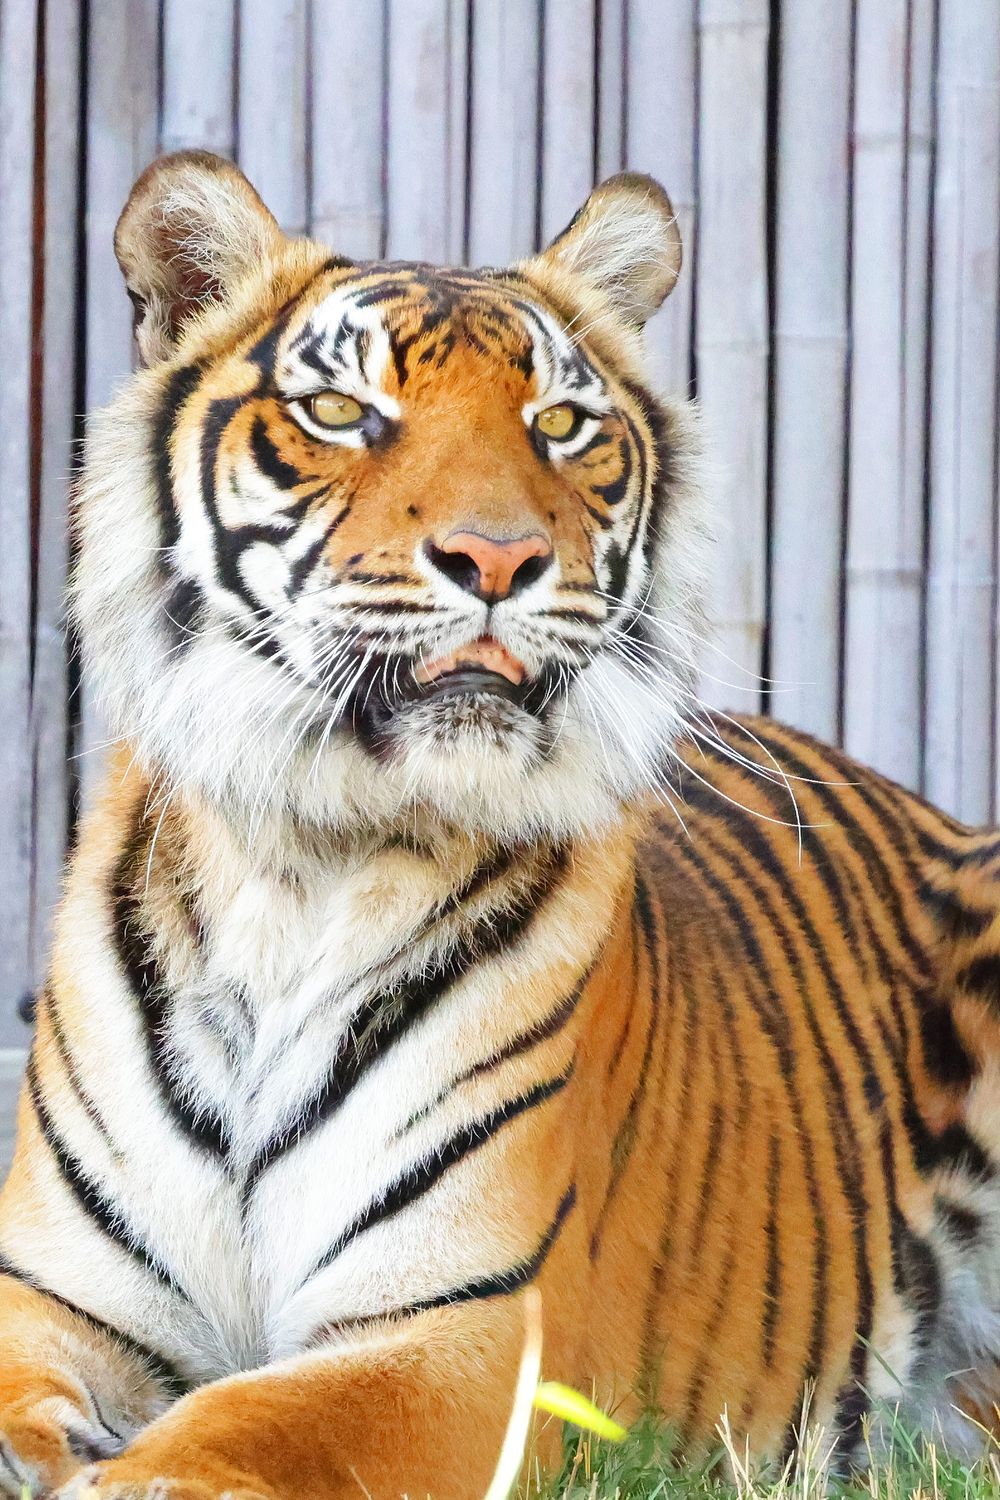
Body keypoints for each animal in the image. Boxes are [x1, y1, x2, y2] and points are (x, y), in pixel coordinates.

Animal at [1, 147, 1000, 1500]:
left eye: (560, 425)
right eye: (342, 412)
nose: (495, 557)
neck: (306, 868)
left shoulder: (464, 1334)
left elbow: (233, 1431)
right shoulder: (51, 1297)